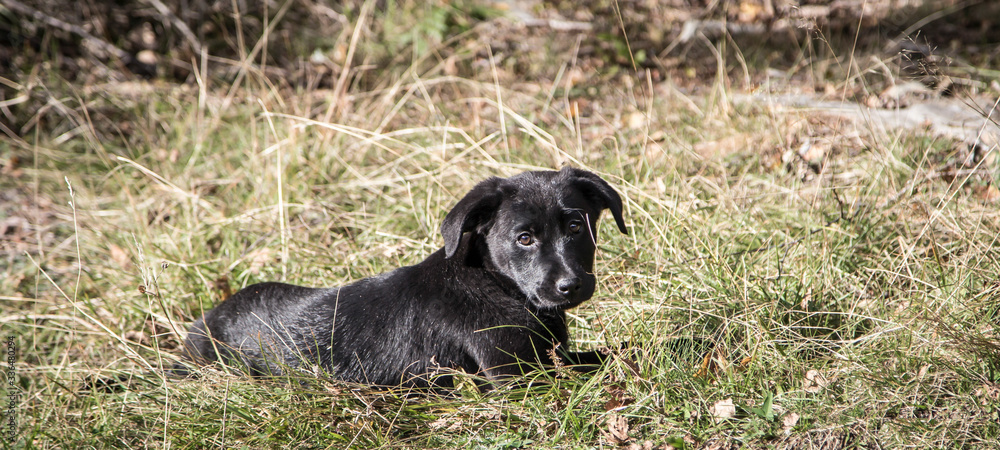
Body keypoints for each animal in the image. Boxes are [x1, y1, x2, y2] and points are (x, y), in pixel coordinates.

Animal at [180, 165, 624, 386]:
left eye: (576, 227)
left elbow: (607, 353)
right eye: (525, 238)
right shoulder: (519, 378)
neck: (498, 286)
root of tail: (199, 328)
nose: (570, 284)